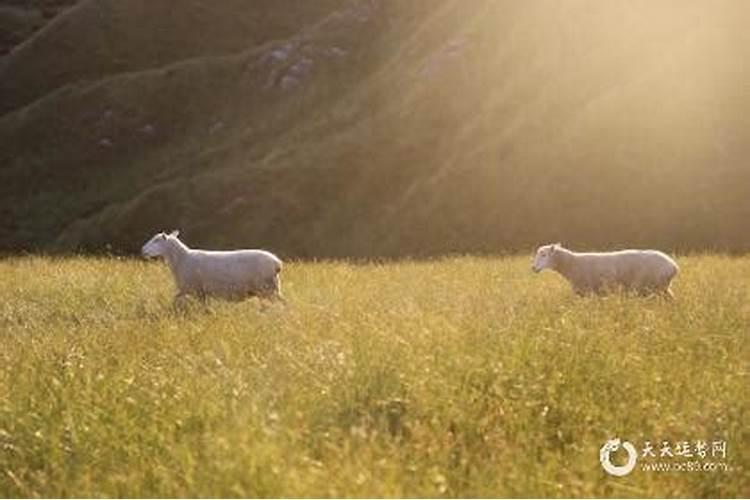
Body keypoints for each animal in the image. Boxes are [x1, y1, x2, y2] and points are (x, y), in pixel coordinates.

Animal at [141, 229, 284, 302]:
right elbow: (175, 300)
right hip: (271, 289)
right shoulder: (192, 291)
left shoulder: (196, 290)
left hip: (267, 289)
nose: (142, 250)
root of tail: (276, 262)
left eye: (156, 240)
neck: (182, 259)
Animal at [536, 243, 680, 296]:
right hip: (662, 288)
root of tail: (673, 266)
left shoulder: (587, 291)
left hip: (653, 287)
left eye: (544, 255)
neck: (572, 263)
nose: (533, 268)